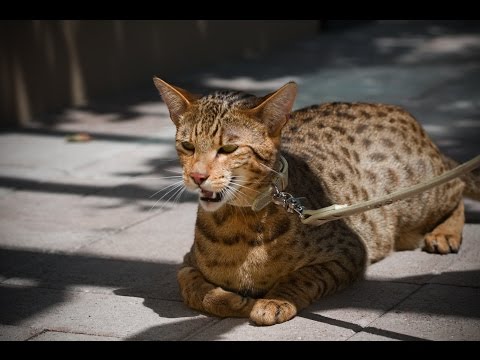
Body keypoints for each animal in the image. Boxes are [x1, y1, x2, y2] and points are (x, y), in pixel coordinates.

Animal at [152, 76, 478, 326]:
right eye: (187, 146)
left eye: (229, 148)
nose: (197, 176)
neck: (239, 221)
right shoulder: (186, 263)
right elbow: (193, 287)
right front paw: (229, 300)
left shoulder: (350, 251)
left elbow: (303, 276)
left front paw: (274, 300)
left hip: (418, 195)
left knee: (457, 184)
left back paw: (444, 233)